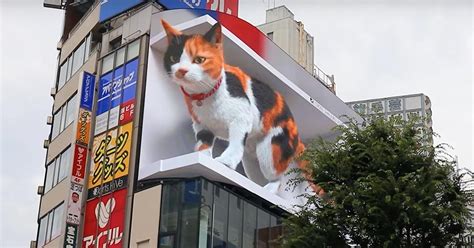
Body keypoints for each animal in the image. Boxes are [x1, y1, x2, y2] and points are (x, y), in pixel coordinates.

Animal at [162, 19, 322, 194]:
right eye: (174, 58)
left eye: (199, 59)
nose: (181, 71)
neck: (204, 96)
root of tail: (297, 133)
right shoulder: (202, 126)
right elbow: (203, 144)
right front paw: (203, 159)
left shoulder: (241, 117)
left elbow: (235, 143)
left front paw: (226, 161)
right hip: (251, 158)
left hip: (271, 149)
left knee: (277, 177)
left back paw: (268, 190)